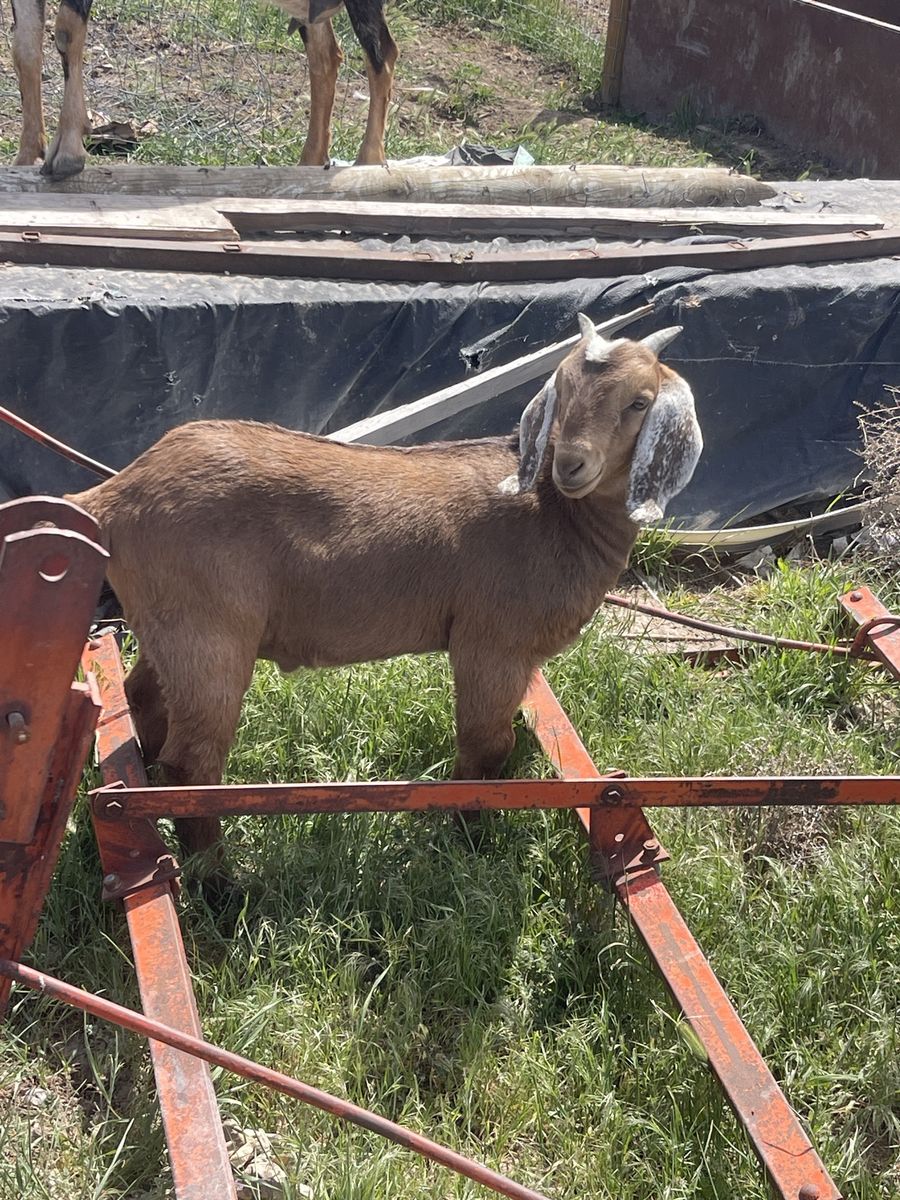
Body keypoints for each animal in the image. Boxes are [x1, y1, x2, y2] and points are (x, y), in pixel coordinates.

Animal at [10, 0, 396, 178]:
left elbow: (66, 30)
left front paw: (67, 152)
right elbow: (24, 48)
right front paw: (26, 158)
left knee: (382, 52)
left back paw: (369, 163)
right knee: (326, 55)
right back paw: (308, 164)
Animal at [65, 316, 702, 867]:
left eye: (639, 402)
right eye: (563, 388)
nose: (571, 464)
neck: (553, 513)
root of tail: (114, 494)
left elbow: (504, 743)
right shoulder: (492, 643)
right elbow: (486, 744)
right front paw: (466, 833)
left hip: (166, 625)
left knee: (143, 699)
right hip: (209, 632)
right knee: (193, 764)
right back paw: (220, 883)